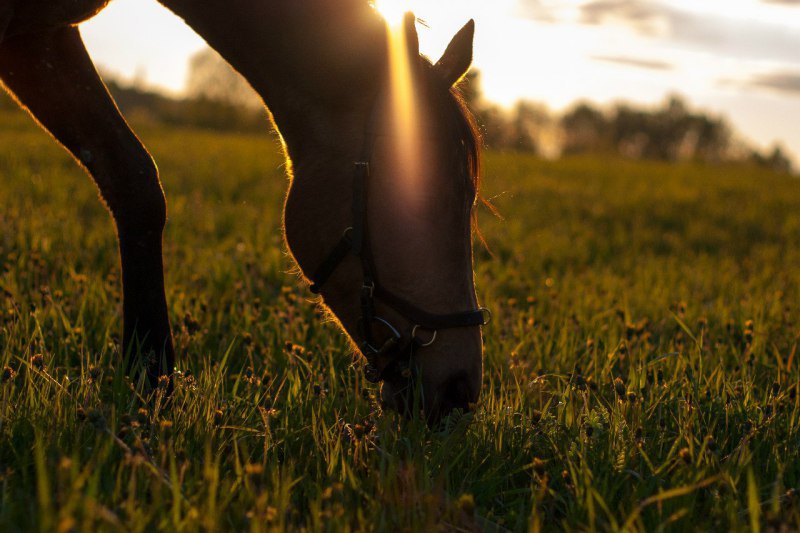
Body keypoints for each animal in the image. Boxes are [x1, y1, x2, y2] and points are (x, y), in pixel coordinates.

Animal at [0, 1, 488, 424]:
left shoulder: (39, 38)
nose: (459, 391)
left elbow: (133, 182)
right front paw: (150, 374)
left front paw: (150, 379)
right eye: (421, 187)